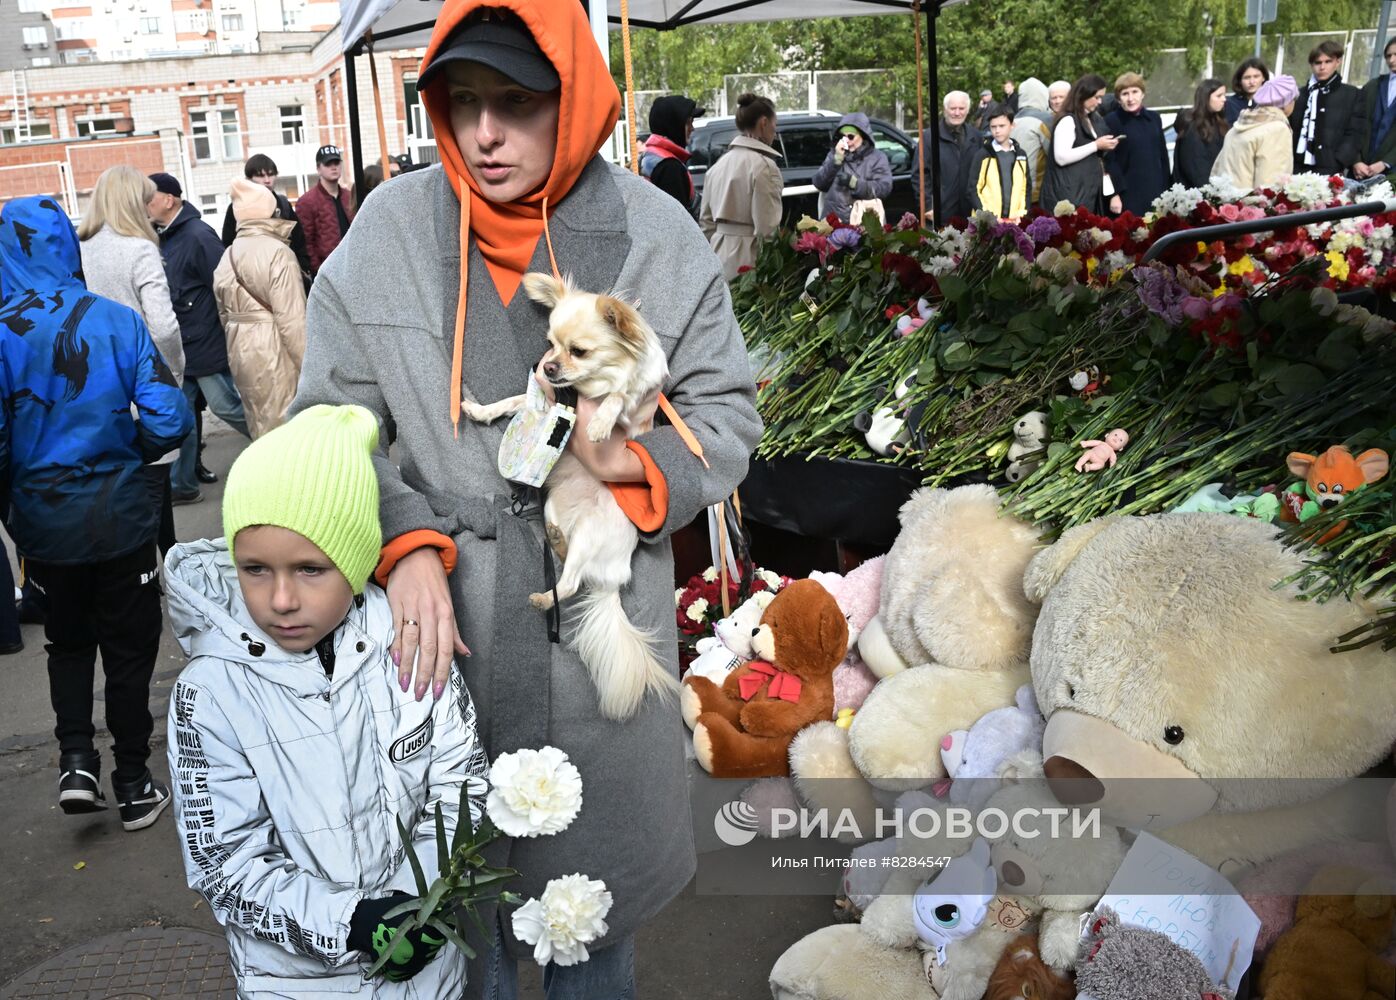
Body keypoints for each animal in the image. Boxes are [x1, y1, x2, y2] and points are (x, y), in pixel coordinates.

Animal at [457, 273, 675, 720]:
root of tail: (613, 580)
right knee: (564, 557)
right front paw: (482, 411)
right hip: (556, 509)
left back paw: (544, 599)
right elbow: (513, 401)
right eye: (550, 344)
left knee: (571, 584)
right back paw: (555, 540)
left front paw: (600, 423)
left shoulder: (633, 410)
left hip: (591, 534)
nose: (548, 367)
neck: (585, 389)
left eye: (579, 351)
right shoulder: (545, 398)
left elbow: (618, 397)